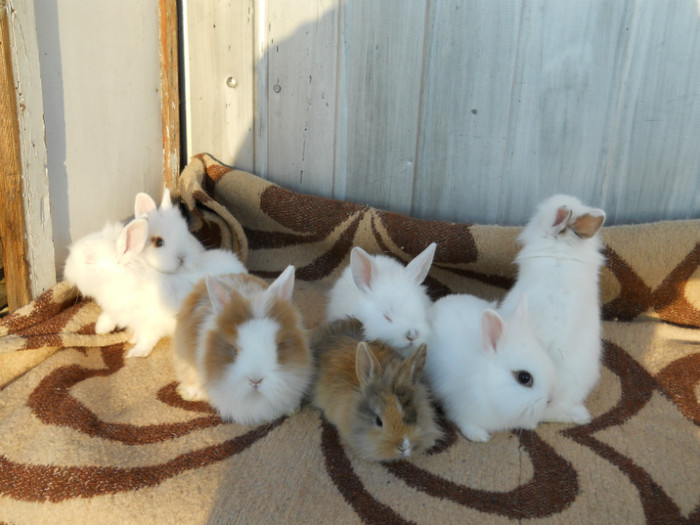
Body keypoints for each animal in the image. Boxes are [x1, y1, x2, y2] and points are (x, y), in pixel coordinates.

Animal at [424, 292, 556, 440]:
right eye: (524, 377)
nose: (550, 400)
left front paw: (530, 424)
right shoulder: (458, 407)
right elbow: (463, 421)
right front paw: (479, 436)